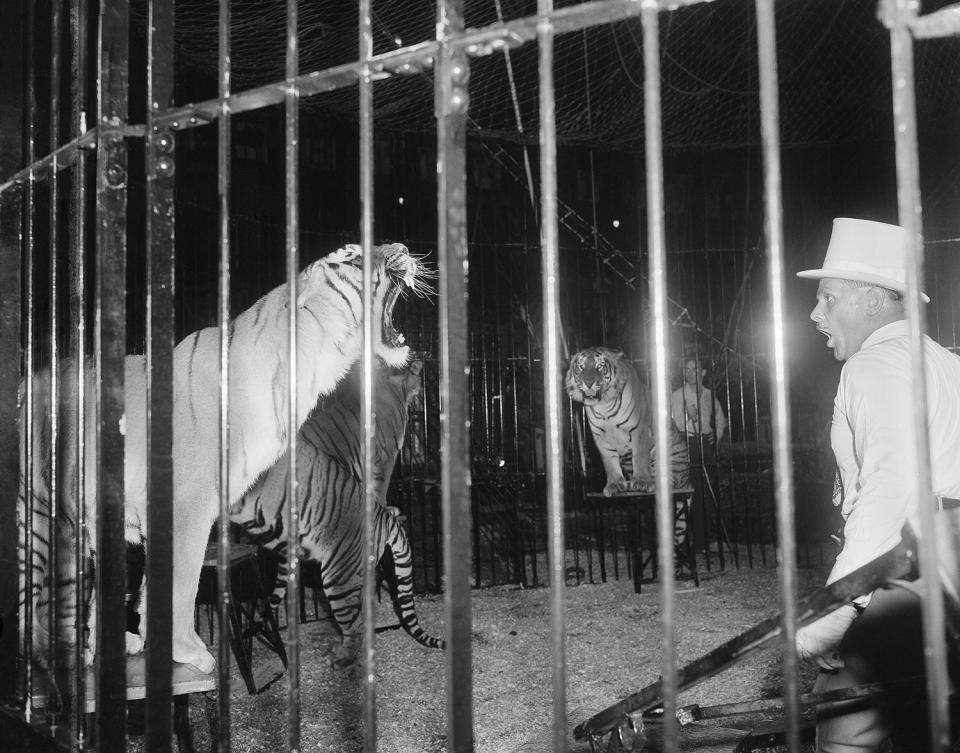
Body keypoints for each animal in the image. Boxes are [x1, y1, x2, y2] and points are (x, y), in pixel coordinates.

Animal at [564, 344, 688, 496]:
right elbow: (610, 462)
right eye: (581, 367)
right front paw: (615, 484)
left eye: (600, 366)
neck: (603, 405)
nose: (588, 383)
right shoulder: (601, 437)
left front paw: (642, 482)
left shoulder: (639, 429)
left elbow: (639, 457)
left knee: (675, 479)